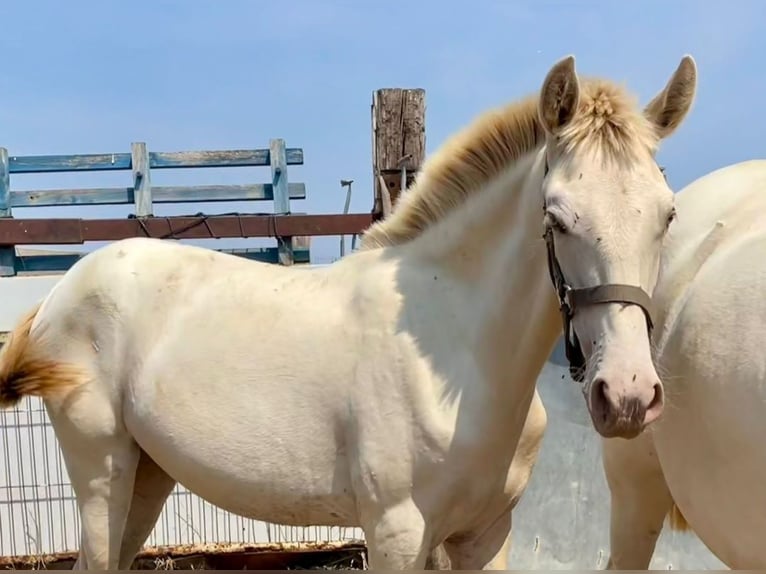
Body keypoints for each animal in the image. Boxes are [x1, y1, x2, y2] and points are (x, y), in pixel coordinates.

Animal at [0, 55, 700, 572]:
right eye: (556, 218)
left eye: (668, 214)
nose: (628, 396)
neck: (452, 356)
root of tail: (61, 291)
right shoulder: (396, 533)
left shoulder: (486, 534)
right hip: (101, 473)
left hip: (147, 475)